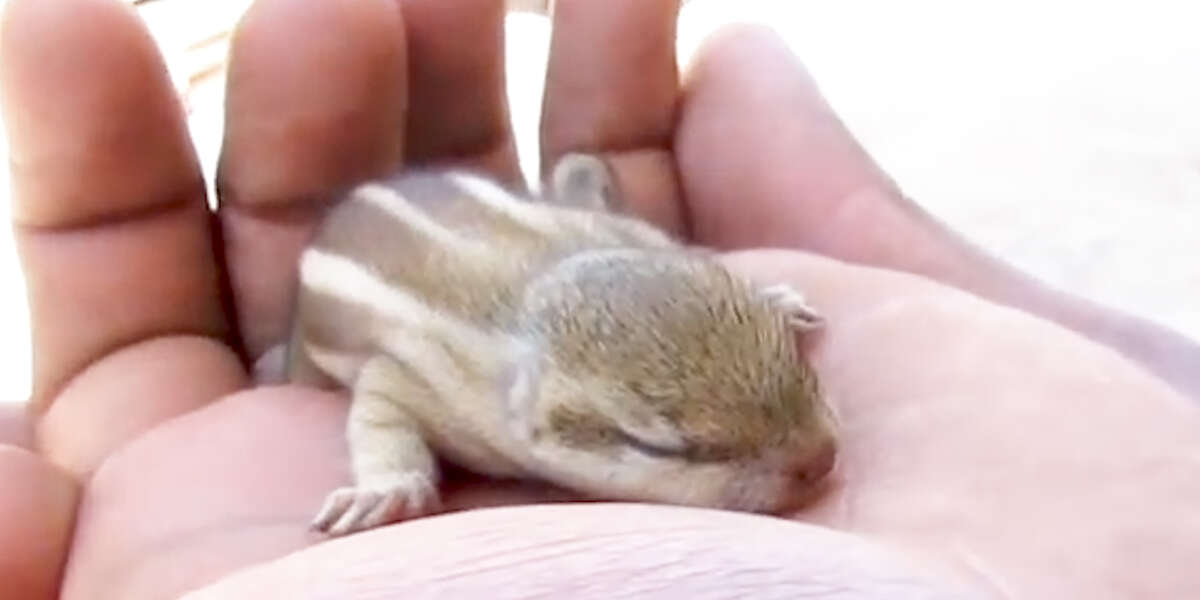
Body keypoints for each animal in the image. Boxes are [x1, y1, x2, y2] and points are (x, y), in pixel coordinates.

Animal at [271, 153, 839, 537]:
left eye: (785, 354)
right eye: (656, 446)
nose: (824, 455)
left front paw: (778, 297)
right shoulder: (424, 380)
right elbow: (380, 405)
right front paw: (388, 489)